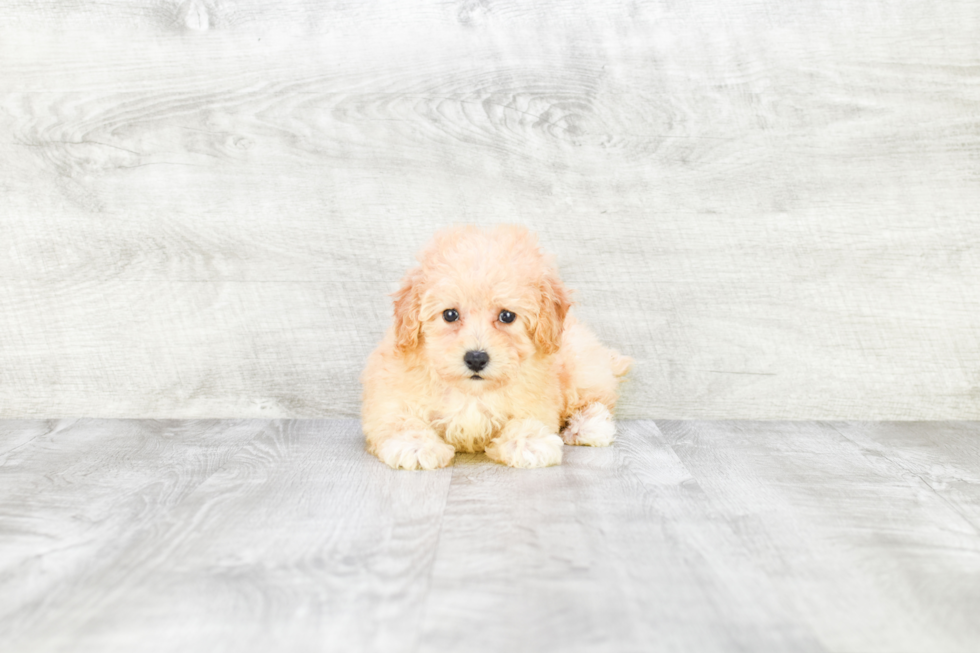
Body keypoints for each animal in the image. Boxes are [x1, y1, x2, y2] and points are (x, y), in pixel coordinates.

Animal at [360, 224, 628, 468]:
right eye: (450, 314)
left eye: (507, 316)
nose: (476, 358)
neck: (472, 392)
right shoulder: (390, 397)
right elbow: (400, 420)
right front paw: (416, 445)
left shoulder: (538, 397)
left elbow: (526, 418)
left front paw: (528, 441)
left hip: (580, 365)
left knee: (596, 400)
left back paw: (589, 427)